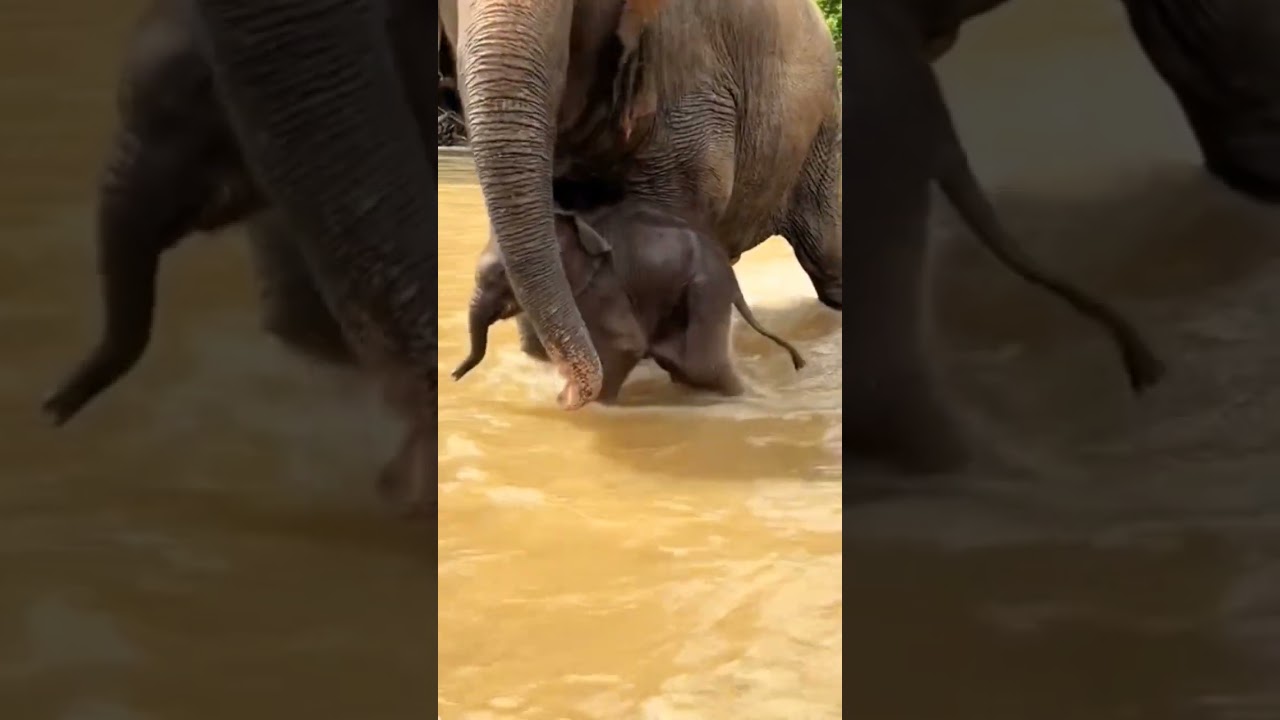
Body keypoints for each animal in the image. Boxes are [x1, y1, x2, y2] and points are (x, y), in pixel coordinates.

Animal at [451, 204, 808, 403]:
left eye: (502, 277)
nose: (453, 375)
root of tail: (734, 281)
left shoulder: (605, 287)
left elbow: (624, 345)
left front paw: (572, 403)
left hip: (707, 291)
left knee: (703, 366)